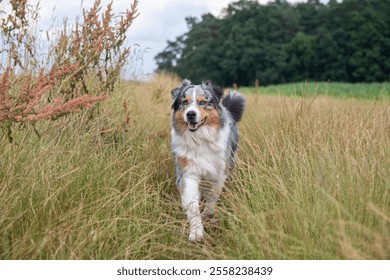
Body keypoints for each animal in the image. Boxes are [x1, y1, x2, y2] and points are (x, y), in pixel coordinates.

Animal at [170, 79, 245, 241]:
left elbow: (212, 198)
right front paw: (196, 231)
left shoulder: (219, 172)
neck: (200, 141)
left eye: (203, 102)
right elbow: (192, 203)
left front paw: (207, 216)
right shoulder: (188, 172)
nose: (190, 114)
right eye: (184, 102)